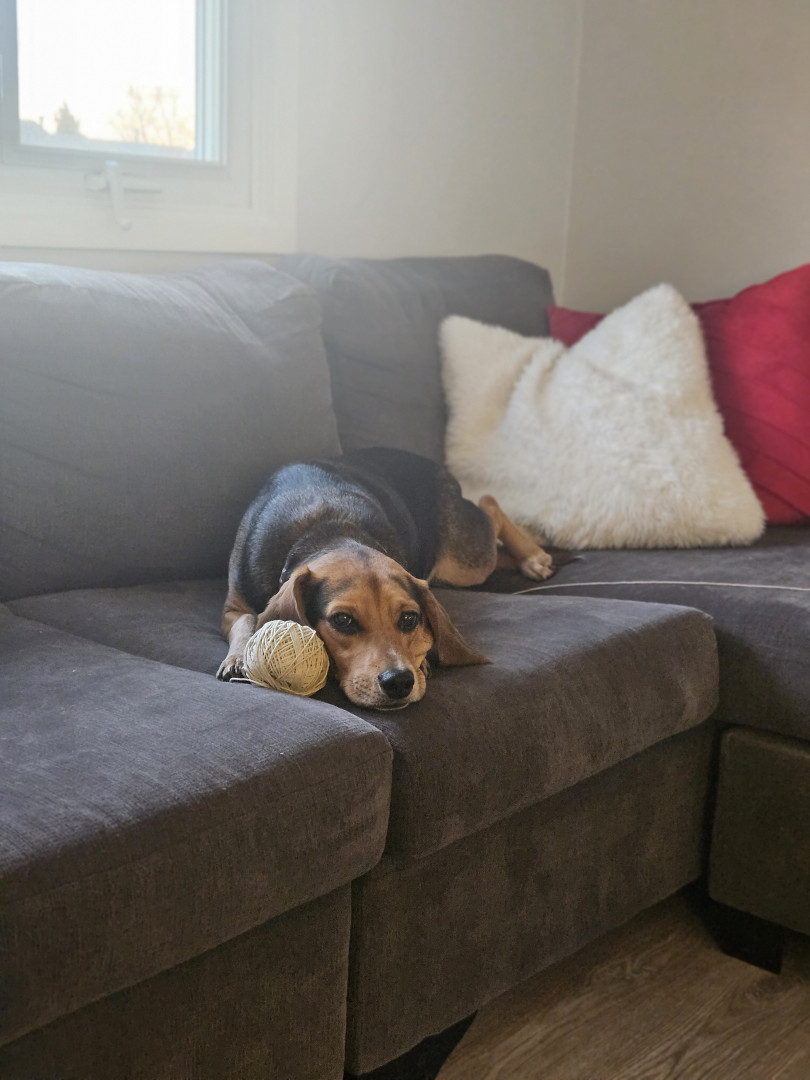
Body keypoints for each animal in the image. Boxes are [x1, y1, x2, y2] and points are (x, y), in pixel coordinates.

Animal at [217, 447, 553, 709]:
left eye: (409, 619)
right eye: (342, 620)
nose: (400, 681)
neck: (328, 532)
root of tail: (435, 466)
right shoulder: (233, 607)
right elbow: (246, 620)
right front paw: (237, 657)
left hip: (463, 563)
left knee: (489, 503)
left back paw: (533, 555)